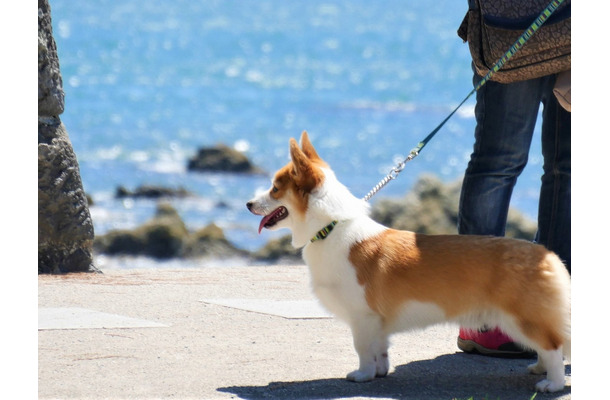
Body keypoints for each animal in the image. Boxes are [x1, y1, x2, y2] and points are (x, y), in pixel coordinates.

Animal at [245, 132, 568, 394]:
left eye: (274, 188)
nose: (247, 204)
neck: (331, 227)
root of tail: (549, 255)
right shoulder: (377, 322)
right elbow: (380, 350)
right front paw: (379, 372)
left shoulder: (362, 316)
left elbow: (362, 348)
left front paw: (362, 376)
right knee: (548, 346)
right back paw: (538, 369)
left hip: (521, 317)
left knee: (553, 347)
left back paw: (552, 384)